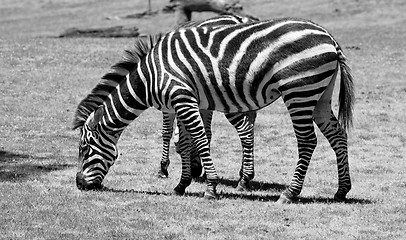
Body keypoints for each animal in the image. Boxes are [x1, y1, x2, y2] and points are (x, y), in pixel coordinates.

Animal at [73, 16, 356, 202]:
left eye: (84, 148)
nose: (79, 185)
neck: (150, 76)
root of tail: (329, 38)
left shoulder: (181, 97)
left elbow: (199, 140)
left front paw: (210, 188)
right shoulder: (186, 100)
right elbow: (185, 143)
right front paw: (182, 185)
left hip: (299, 91)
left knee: (307, 141)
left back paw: (289, 193)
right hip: (319, 94)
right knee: (338, 135)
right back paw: (341, 191)